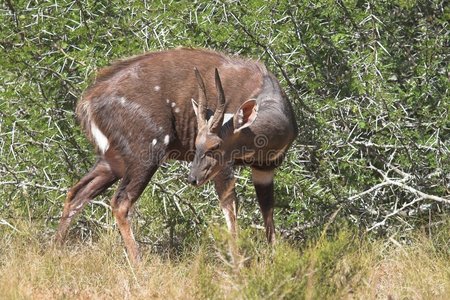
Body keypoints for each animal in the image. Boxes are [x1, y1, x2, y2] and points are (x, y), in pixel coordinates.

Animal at [54, 48, 298, 262]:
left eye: (215, 145)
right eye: (198, 144)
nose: (192, 179)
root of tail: (87, 102)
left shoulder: (265, 169)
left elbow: (268, 215)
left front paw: (273, 259)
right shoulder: (224, 168)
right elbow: (231, 211)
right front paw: (238, 264)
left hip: (112, 161)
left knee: (77, 193)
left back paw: (54, 251)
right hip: (146, 153)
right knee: (119, 202)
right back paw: (139, 265)